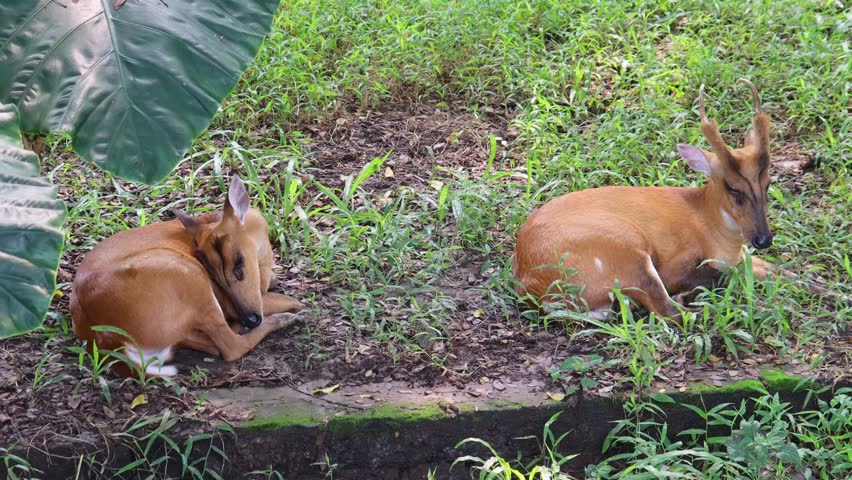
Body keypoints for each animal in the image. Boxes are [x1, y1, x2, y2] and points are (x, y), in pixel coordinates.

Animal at [70, 175, 302, 377]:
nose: (250, 318)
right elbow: (290, 300)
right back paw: (283, 319)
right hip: (188, 274)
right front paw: (294, 308)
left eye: (238, 264)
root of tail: (103, 337)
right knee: (230, 346)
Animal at [513, 79, 791, 320]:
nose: (764, 239)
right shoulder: (676, 263)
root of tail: (533, 288)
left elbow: (782, 270)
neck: (711, 228)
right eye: (734, 189)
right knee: (669, 312)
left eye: (768, 184)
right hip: (625, 250)